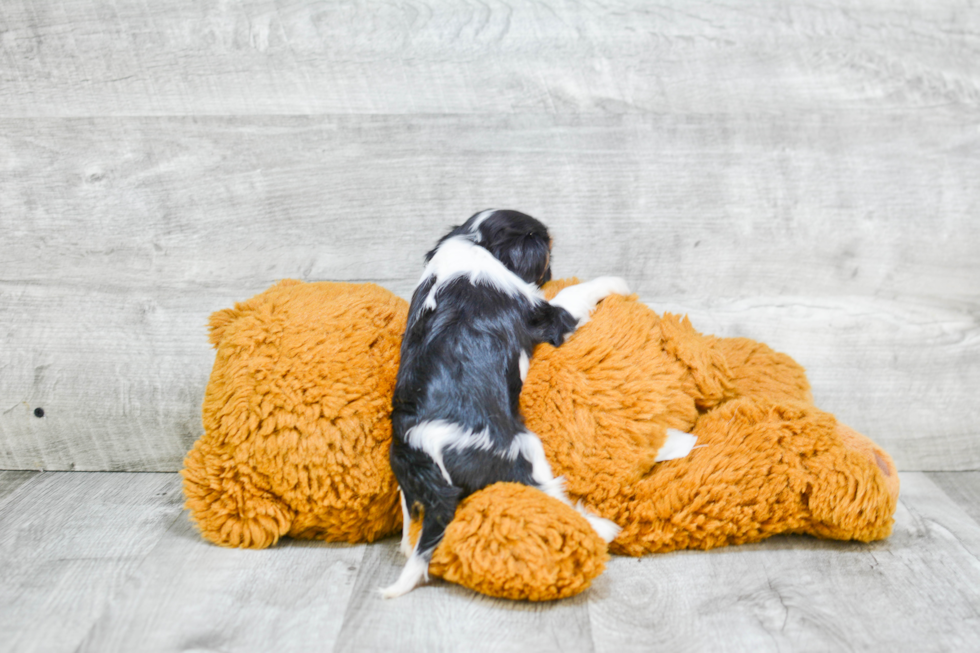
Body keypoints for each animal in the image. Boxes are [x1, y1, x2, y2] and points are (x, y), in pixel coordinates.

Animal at [378, 209, 632, 596]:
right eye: (547, 253)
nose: (550, 272)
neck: (473, 242)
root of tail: (426, 450)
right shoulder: (546, 315)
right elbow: (576, 292)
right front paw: (617, 282)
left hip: (409, 480)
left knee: (412, 521)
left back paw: (409, 542)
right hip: (524, 446)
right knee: (545, 490)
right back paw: (601, 527)